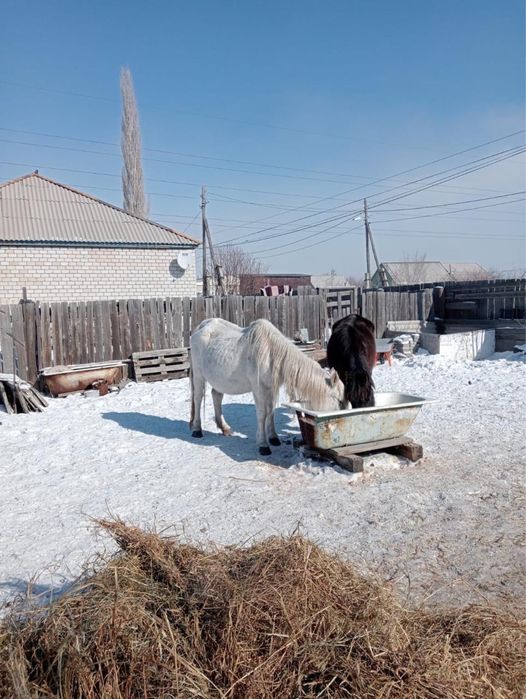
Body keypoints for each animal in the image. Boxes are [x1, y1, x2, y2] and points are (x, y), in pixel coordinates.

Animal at [189, 318, 346, 455]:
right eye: (339, 400)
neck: (271, 352)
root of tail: (200, 327)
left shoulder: (270, 388)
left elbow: (271, 411)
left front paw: (274, 438)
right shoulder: (258, 389)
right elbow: (262, 414)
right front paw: (263, 445)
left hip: (219, 380)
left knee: (216, 396)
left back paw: (225, 428)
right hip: (198, 375)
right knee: (197, 399)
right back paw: (197, 430)